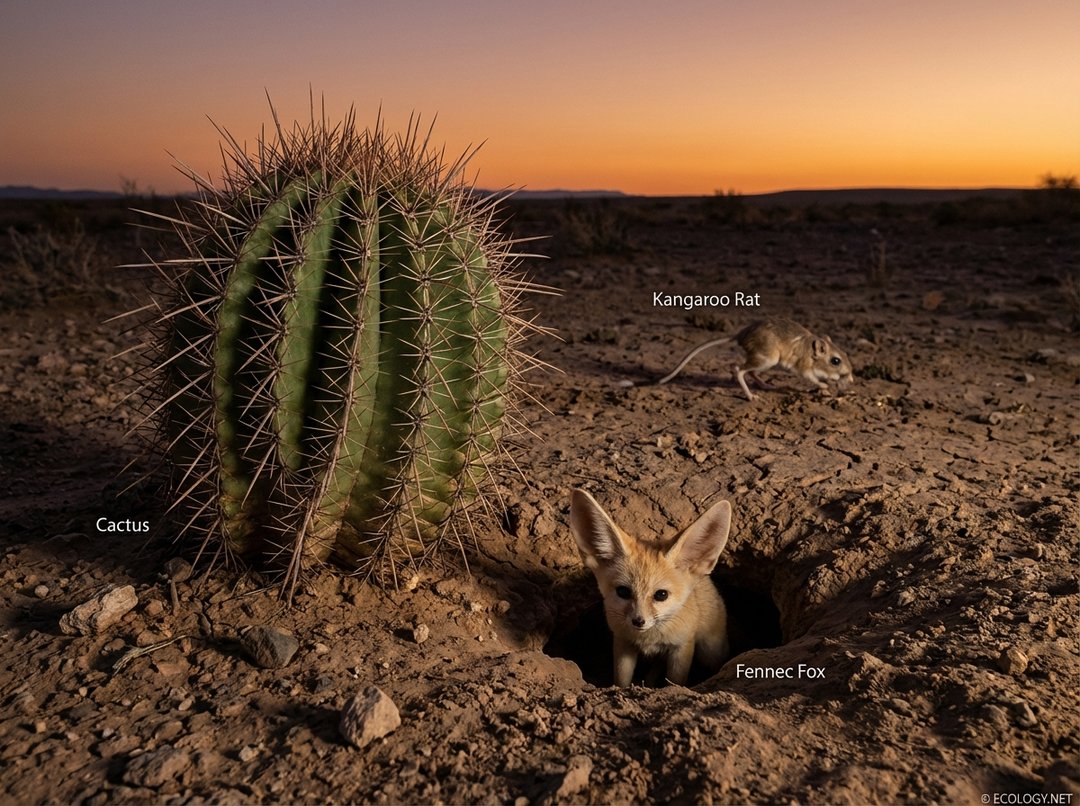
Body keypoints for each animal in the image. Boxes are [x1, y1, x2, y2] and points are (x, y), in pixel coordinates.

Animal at [570, 489, 732, 687]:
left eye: (661, 595)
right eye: (623, 592)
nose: (638, 621)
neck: (649, 639)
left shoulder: (682, 645)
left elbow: (675, 681)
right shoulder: (623, 642)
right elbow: (621, 680)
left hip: (711, 650)